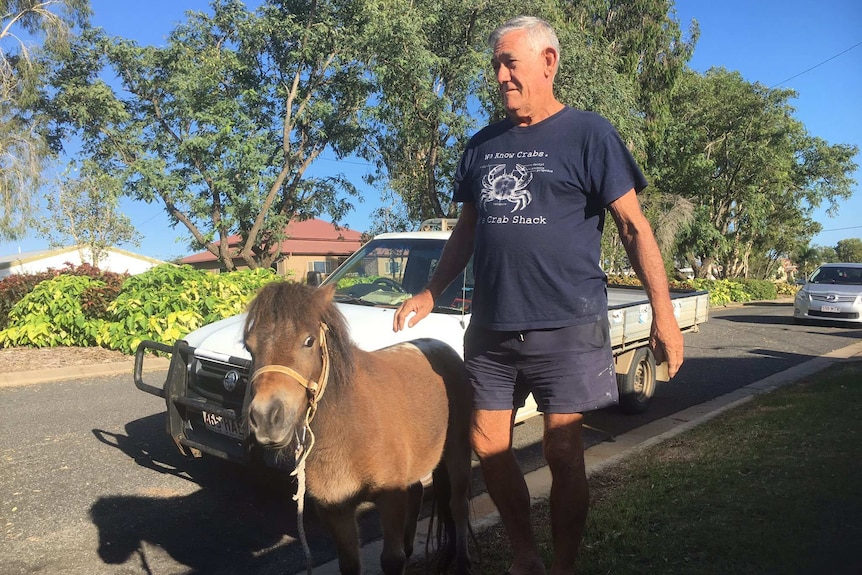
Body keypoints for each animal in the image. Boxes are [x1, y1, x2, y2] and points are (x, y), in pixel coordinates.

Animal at [243, 282, 476, 572]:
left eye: (308, 341)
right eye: (249, 347)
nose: (266, 417)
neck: (349, 425)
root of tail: (444, 349)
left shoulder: (390, 499)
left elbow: (392, 559)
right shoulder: (335, 509)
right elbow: (350, 564)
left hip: (457, 452)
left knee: (458, 504)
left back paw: (462, 561)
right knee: (418, 493)